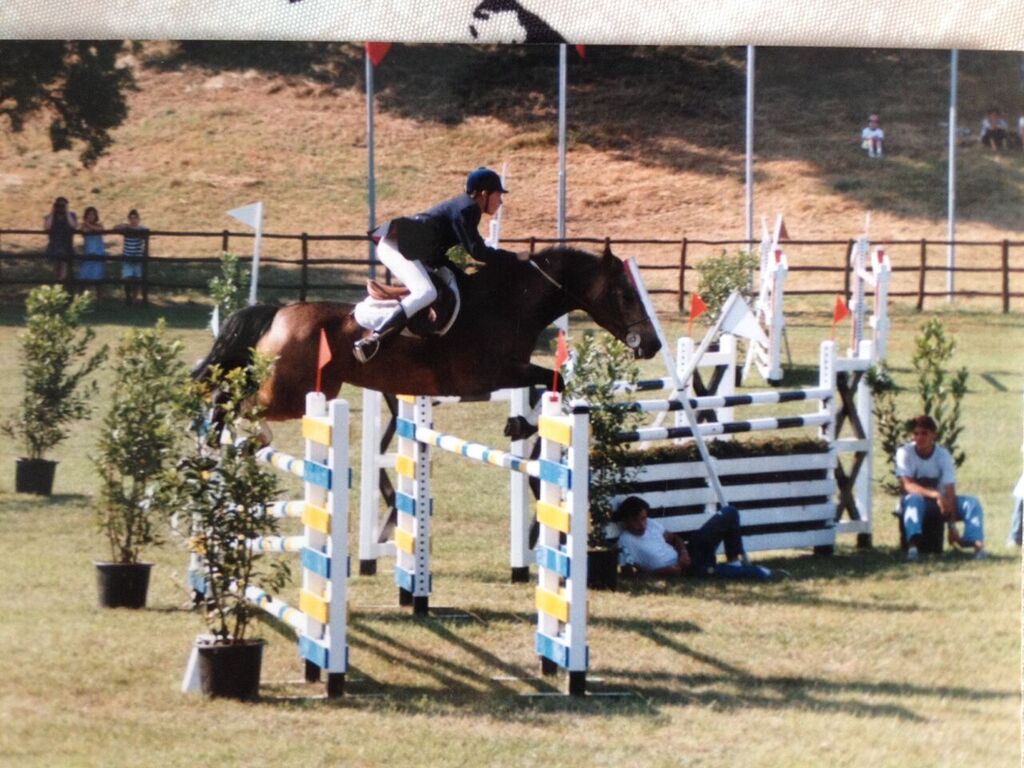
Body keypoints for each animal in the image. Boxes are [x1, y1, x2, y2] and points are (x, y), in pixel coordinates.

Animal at [193, 244, 663, 421]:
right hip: (289, 394)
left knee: (229, 393)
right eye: (625, 294)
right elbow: (554, 377)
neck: (507, 304)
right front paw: (523, 427)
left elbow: (551, 380)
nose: (652, 344)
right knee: (232, 401)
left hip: (310, 390)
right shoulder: (489, 375)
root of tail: (279, 313)